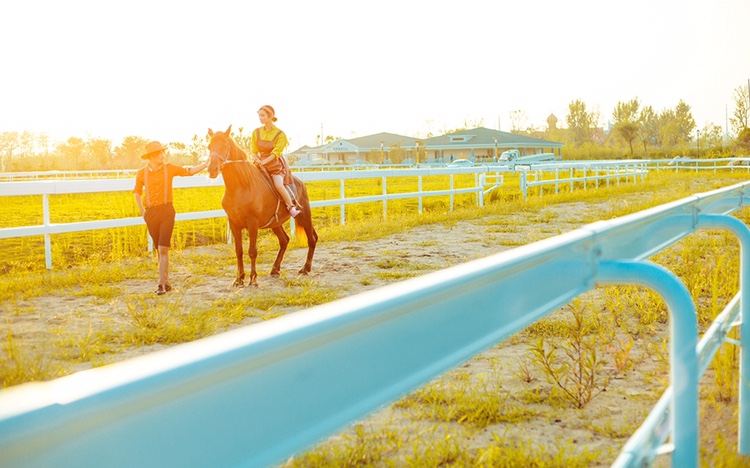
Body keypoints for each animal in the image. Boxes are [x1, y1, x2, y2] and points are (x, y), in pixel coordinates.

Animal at [207, 124, 318, 288]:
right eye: (209, 147)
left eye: (225, 146)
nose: (212, 169)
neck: (241, 186)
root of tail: (300, 182)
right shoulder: (234, 223)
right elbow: (239, 251)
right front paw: (239, 279)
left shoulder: (252, 223)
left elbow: (252, 251)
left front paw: (253, 279)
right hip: (275, 223)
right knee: (284, 240)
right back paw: (275, 269)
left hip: (304, 215)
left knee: (312, 239)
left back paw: (305, 268)